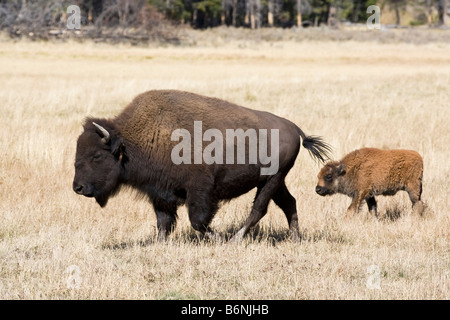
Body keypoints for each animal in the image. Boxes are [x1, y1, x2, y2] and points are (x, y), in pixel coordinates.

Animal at [71, 89, 330, 241]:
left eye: (97, 156)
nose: (78, 187)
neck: (134, 140)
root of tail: (293, 127)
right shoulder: (160, 194)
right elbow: (163, 223)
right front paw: (159, 243)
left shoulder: (200, 191)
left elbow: (198, 221)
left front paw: (218, 239)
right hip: (275, 181)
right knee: (288, 203)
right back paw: (294, 238)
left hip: (272, 179)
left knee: (259, 209)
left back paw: (236, 239)